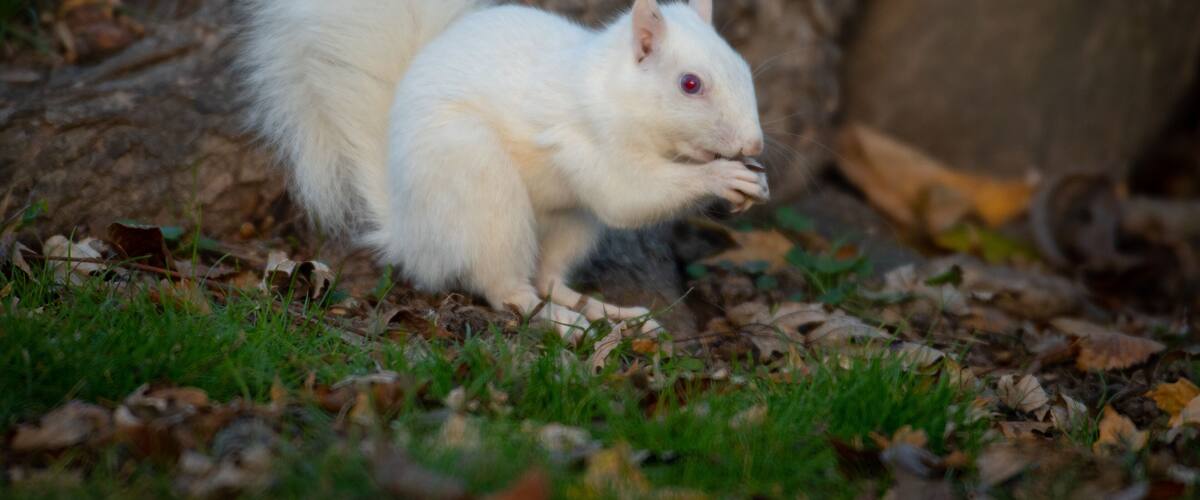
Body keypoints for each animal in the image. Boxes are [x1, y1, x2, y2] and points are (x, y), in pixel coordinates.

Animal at [240, 0, 768, 339]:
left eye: (744, 67)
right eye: (690, 84)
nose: (754, 143)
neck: (610, 90)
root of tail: (410, 234)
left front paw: (749, 181)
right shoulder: (586, 140)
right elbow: (626, 197)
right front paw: (724, 178)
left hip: (571, 223)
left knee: (550, 278)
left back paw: (609, 311)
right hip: (483, 191)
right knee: (509, 291)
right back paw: (566, 322)